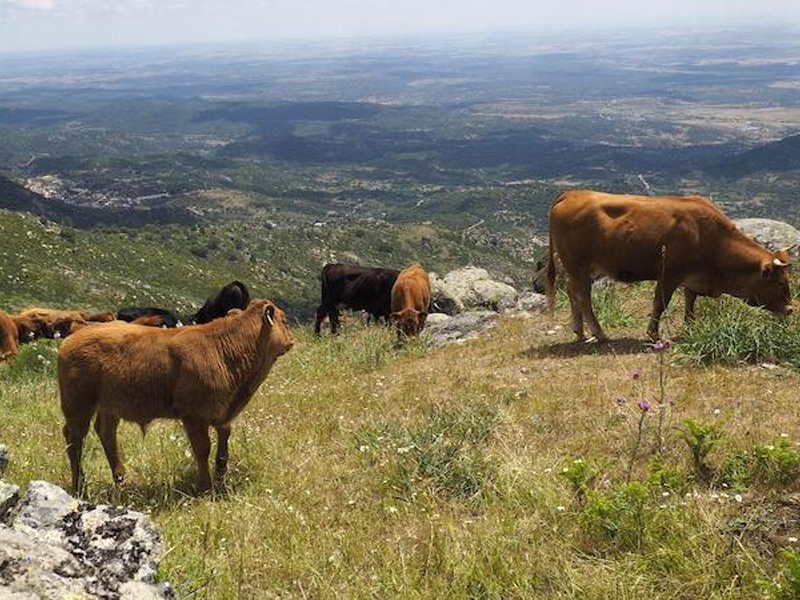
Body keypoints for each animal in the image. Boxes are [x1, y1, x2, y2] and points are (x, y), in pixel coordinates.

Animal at [57, 299, 293, 494]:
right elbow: (203, 450)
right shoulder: (194, 417)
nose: (292, 339)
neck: (223, 349)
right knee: (74, 440)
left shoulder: (223, 415)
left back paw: (121, 480)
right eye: (285, 320)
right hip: (77, 406)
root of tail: (79, 331)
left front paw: (220, 481)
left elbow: (223, 450)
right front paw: (205, 488)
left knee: (106, 433)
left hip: (110, 405)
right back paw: (80, 486)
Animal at [545, 190, 793, 342]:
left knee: (572, 292)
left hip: (578, 269)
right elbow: (660, 304)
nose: (790, 310)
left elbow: (690, 302)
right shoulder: (669, 274)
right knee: (583, 297)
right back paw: (599, 333)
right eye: (780, 283)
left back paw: (579, 331)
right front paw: (654, 334)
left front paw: (691, 327)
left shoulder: (693, 278)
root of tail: (572, 194)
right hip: (578, 265)